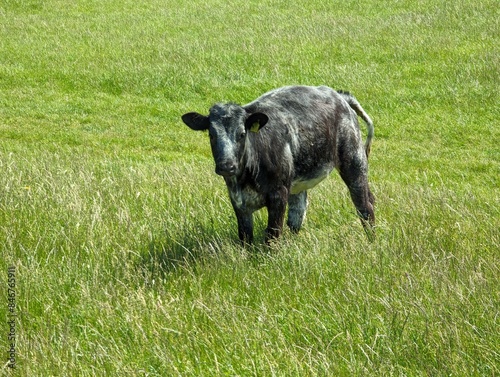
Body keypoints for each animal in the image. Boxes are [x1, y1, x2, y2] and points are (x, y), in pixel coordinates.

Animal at [181, 85, 376, 244]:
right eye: (211, 135)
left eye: (242, 134)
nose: (227, 166)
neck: (245, 179)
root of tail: (339, 95)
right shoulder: (238, 201)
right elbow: (245, 237)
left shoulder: (278, 194)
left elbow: (272, 235)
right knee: (297, 215)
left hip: (354, 160)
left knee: (365, 206)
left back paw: (371, 241)